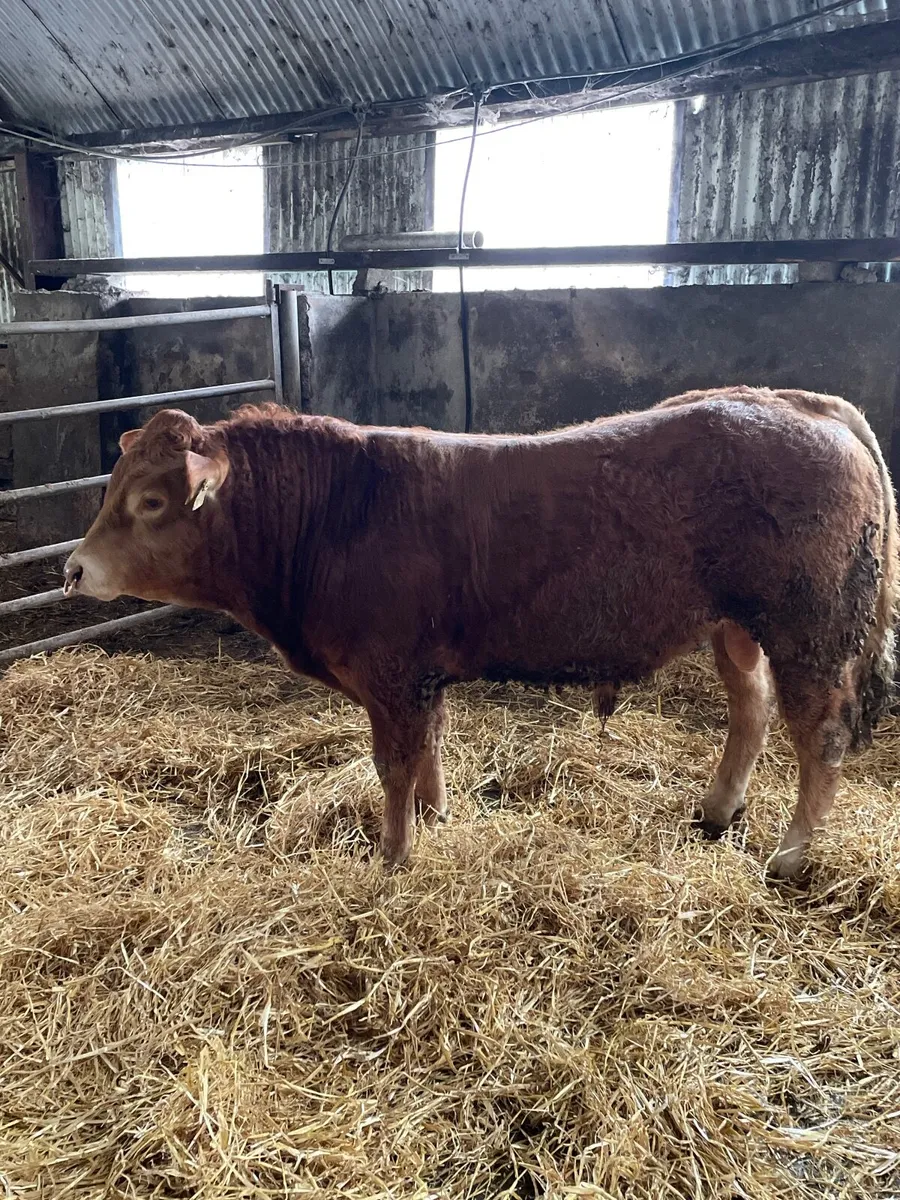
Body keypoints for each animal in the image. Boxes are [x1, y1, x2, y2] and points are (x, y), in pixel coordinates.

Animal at [63, 386, 897, 879]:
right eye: (114, 488)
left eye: (150, 501)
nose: (72, 569)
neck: (337, 512)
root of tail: (803, 404)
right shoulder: (419, 676)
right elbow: (429, 748)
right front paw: (436, 819)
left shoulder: (391, 675)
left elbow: (395, 766)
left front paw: (394, 856)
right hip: (735, 625)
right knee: (751, 709)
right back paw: (718, 811)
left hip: (811, 629)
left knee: (819, 737)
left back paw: (790, 855)